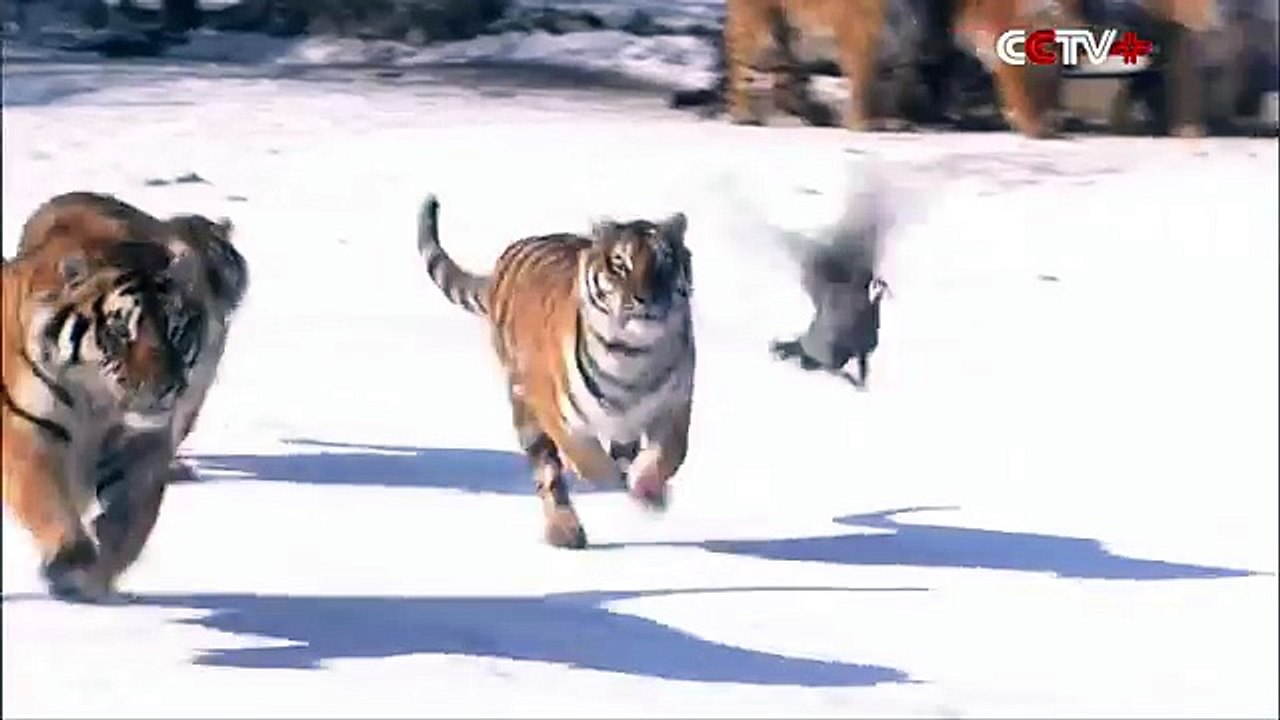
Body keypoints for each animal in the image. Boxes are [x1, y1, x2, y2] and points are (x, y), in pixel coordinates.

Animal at [1, 192, 248, 602]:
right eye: (119, 331)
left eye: (176, 330)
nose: (164, 388)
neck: (95, 401)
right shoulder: (29, 429)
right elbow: (45, 497)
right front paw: (69, 560)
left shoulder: (143, 443)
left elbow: (133, 522)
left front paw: (96, 577)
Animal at [415, 195, 696, 550]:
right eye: (620, 263)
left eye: (665, 262)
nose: (645, 299)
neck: (632, 356)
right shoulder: (557, 414)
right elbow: (590, 462)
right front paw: (614, 481)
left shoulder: (674, 408)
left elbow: (666, 456)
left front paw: (648, 491)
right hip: (525, 409)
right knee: (549, 476)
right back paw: (565, 530)